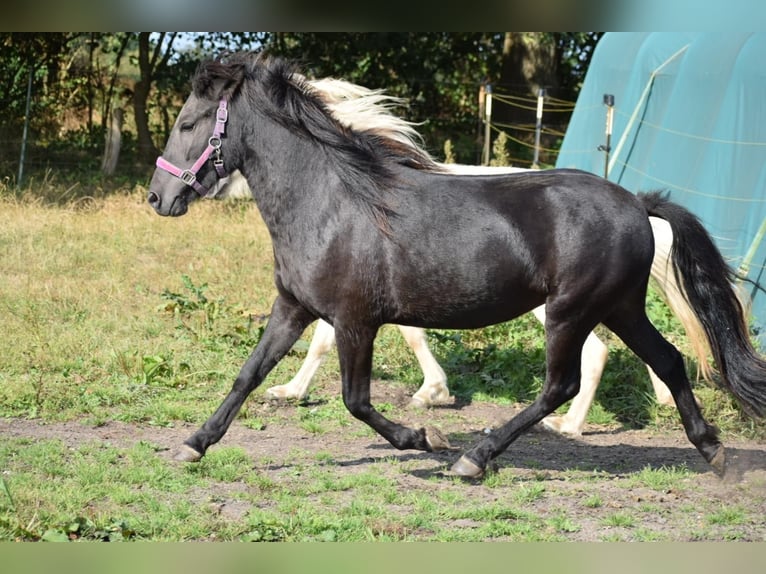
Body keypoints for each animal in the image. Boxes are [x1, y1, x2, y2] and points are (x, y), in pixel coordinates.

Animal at [148, 52, 766, 479]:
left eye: (187, 125)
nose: (158, 197)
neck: (331, 201)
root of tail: (637, 203)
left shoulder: (354, 320)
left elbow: (356, 400)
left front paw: (428, 438)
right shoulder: (294, 308)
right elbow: (249, 374)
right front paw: (194, 443)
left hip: (571, 310)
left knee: (562, 382)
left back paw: (478, 457)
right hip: (619, 307)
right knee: (669, 360)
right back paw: (712, 451)